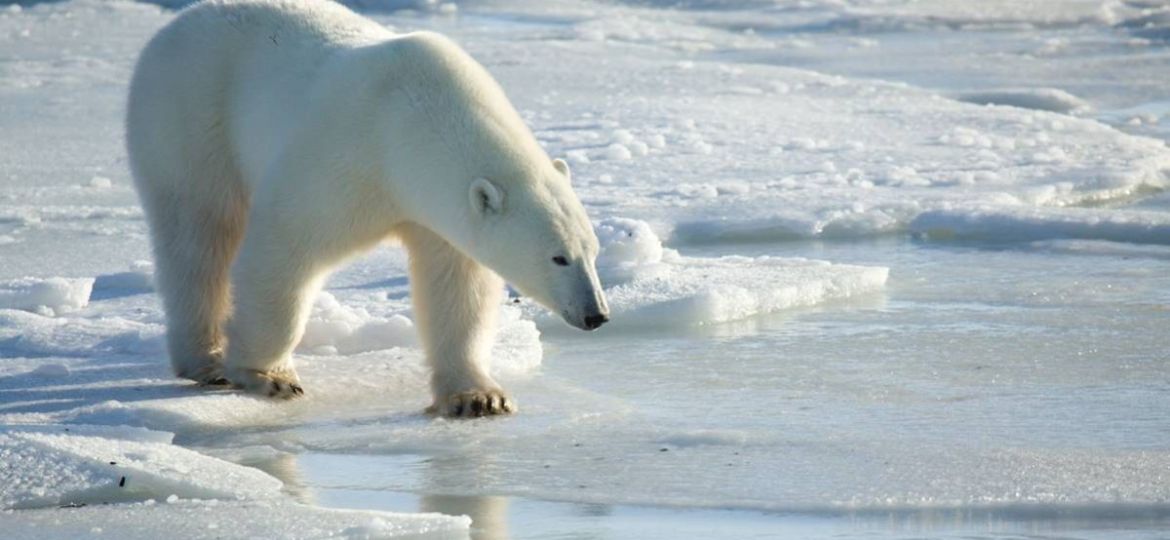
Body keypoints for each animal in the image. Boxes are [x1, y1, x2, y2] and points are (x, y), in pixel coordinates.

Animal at [125, 0, 609, 417]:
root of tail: (177, 23)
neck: (409, 123)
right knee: (199, 234)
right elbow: (285, 247)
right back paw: (206, 360)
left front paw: (478, 396)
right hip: (190, 117)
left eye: (593, 251)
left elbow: (457, 287)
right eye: (558, 257)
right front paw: (269, 375)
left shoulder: (435, 212)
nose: (596, 315)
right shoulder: (345, 159)